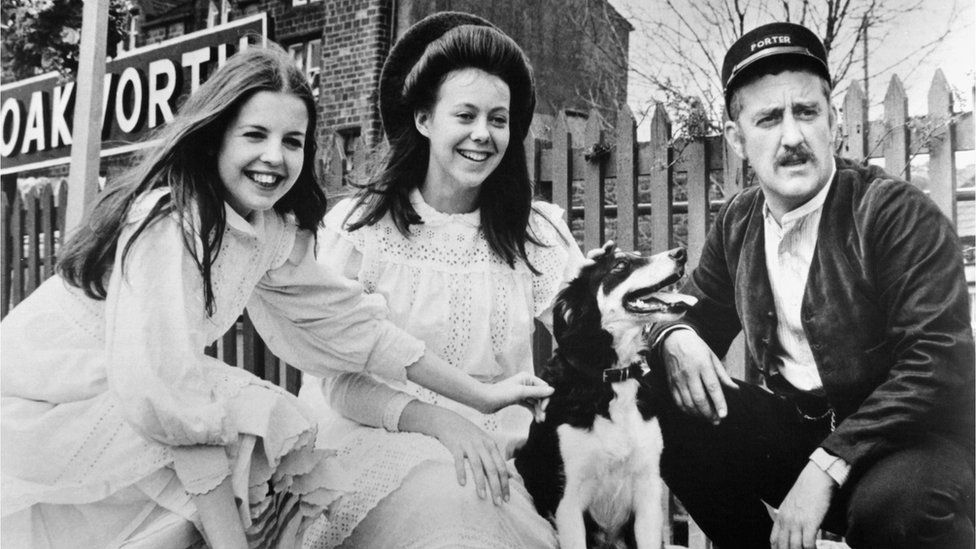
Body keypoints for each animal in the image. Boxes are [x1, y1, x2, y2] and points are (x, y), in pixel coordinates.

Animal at [516, 244, 692, 548]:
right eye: (620, 265)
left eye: (639, 254)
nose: (681, 252)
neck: (612, 377)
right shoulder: (568, 501)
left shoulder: (648, 494)